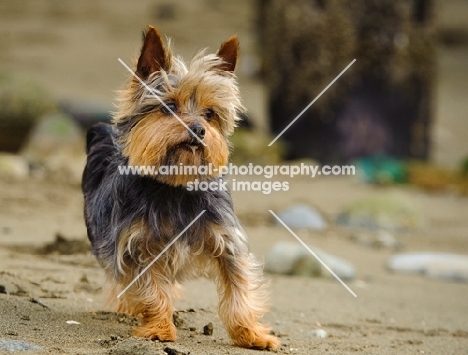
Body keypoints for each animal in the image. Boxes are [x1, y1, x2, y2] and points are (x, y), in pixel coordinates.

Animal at [81, 26, 278, 352]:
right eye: (169, 107)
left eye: (210, 114)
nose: (198, 129)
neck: (175, 188)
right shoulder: (137, 248)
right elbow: (151, 289)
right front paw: (159, 327)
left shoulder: (228, 243)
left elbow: (238, 290)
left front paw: (251, 333)